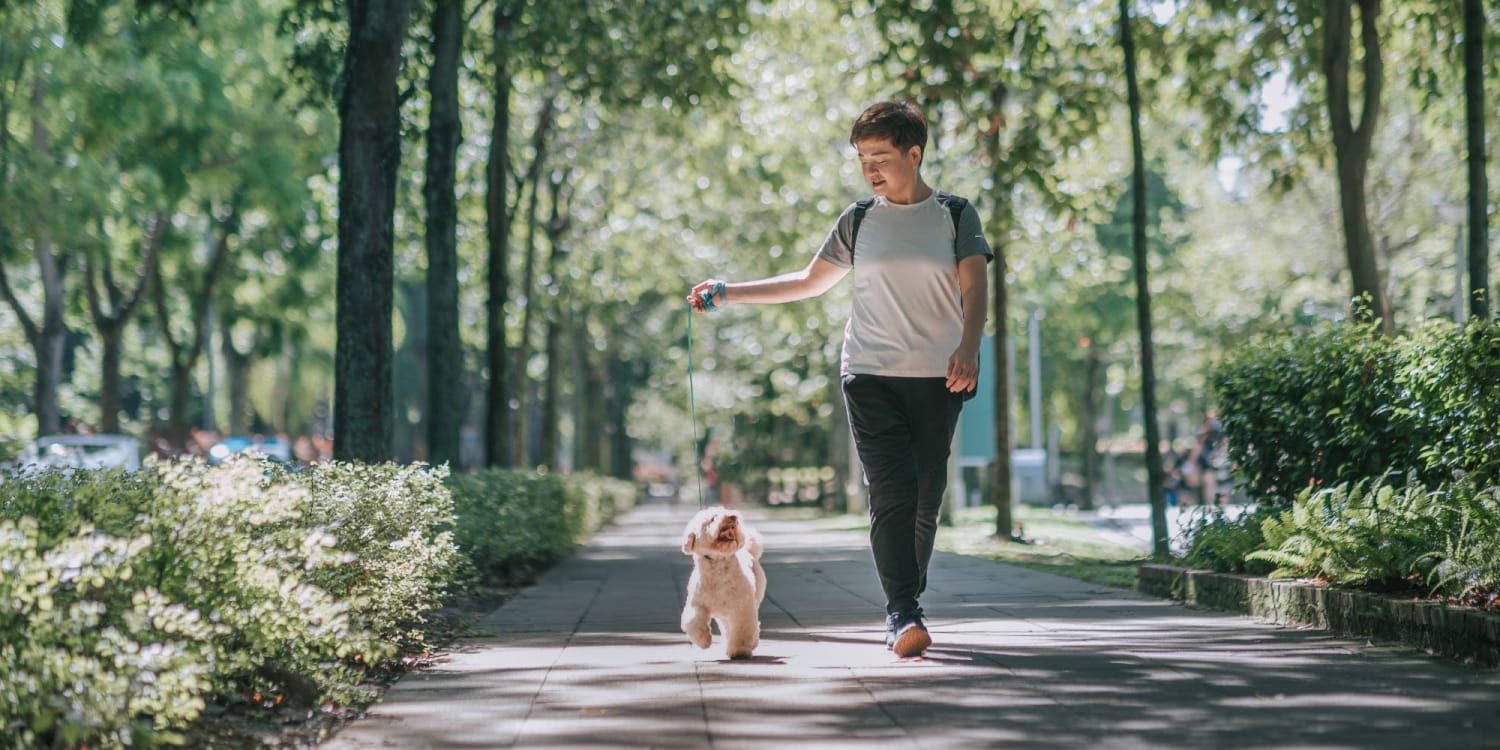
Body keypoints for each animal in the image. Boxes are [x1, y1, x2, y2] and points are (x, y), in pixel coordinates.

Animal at [684, 507, 768, 660]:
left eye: (727, 511)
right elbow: (693, 621)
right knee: (727, 627)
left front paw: (740, 650)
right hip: (723, 614)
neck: (718, 563)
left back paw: (751, 643)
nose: (733, 517)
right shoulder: (697, 604)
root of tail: (749, 549)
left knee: (752, 626)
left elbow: (742, 629)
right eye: (712, 519)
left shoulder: (742, 607)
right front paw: (704, 640)